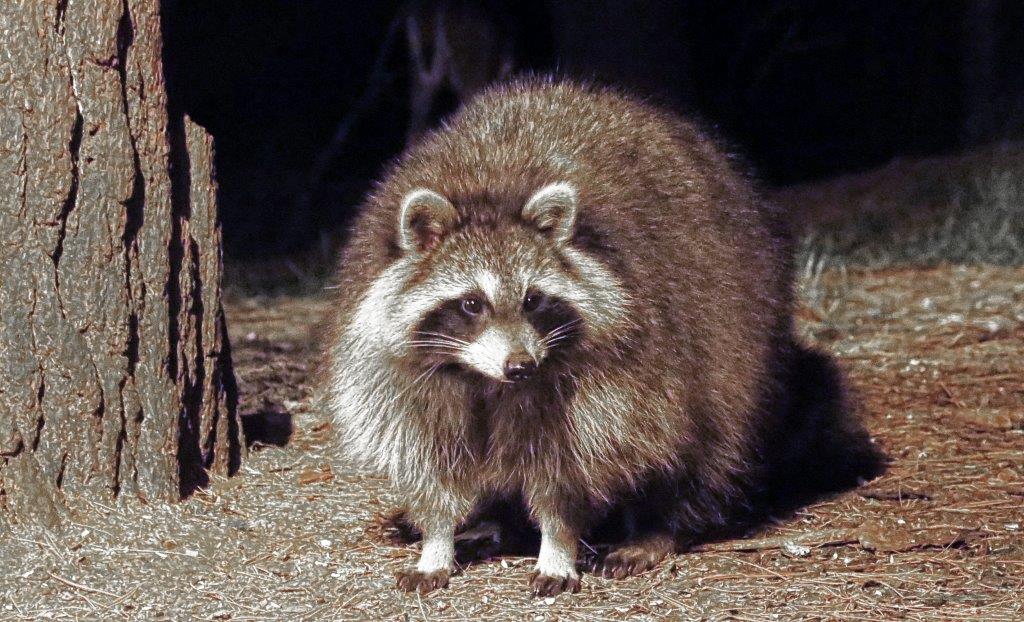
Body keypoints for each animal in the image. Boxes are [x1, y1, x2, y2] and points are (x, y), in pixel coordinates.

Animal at [324, 78, 882, 596]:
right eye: (471, 303)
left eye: (533, 300)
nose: (521, 366)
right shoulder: (404, 369)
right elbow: (430, 454)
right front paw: (436, 539)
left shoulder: (610, 369)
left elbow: (573, 460)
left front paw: (557, 542)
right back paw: (497, 523)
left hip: (737, 329)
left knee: (709, 436)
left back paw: (660, 525)